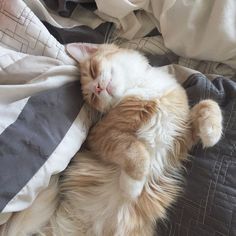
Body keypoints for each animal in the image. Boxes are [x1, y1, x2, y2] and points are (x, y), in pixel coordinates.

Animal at [0, 43, 222, 236]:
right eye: (92, 96)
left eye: (92, 71)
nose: (97, 89)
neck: (141, 88)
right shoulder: (103, 137)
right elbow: (136, 151)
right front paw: (132, 186)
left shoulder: (178, 137)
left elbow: (208, 105)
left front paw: (211, 133)